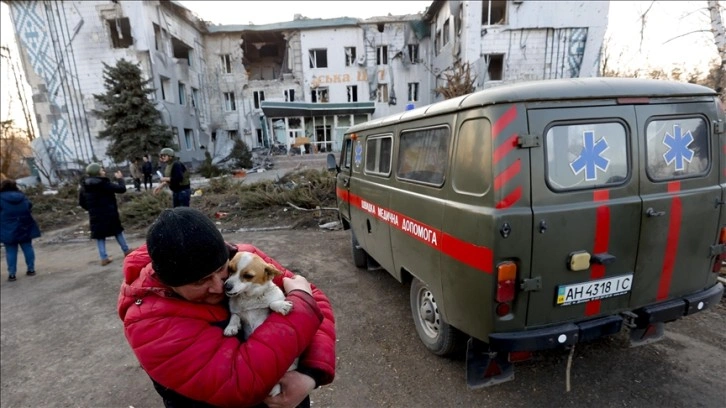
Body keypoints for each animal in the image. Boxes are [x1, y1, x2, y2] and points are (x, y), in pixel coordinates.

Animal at [225, 250, 298, 396]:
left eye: (248, 276)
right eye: (230, 269)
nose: (226, 286)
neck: (249, 298)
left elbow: (271, 303)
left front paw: (282, 306)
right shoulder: (237, 312)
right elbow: (235, 316)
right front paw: (231, 327)